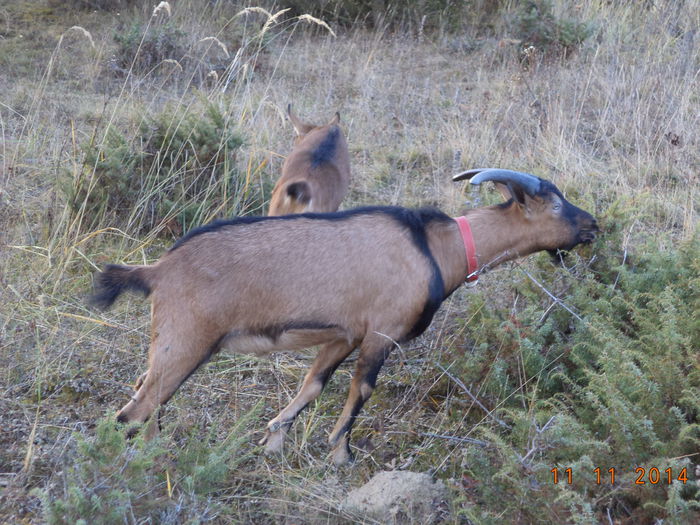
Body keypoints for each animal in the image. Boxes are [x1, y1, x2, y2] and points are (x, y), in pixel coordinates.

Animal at [90, 167, 600, 462]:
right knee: (133, 412)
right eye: (556, 203)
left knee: (145, 395)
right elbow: (362, 391)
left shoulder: (343, 335)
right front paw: (341, 455)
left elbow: (313, 384)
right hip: (188, 341)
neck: (437, 248)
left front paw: (273, 442)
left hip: (168, 343)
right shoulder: (382, 334)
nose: (593, 225)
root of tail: (156, 270)